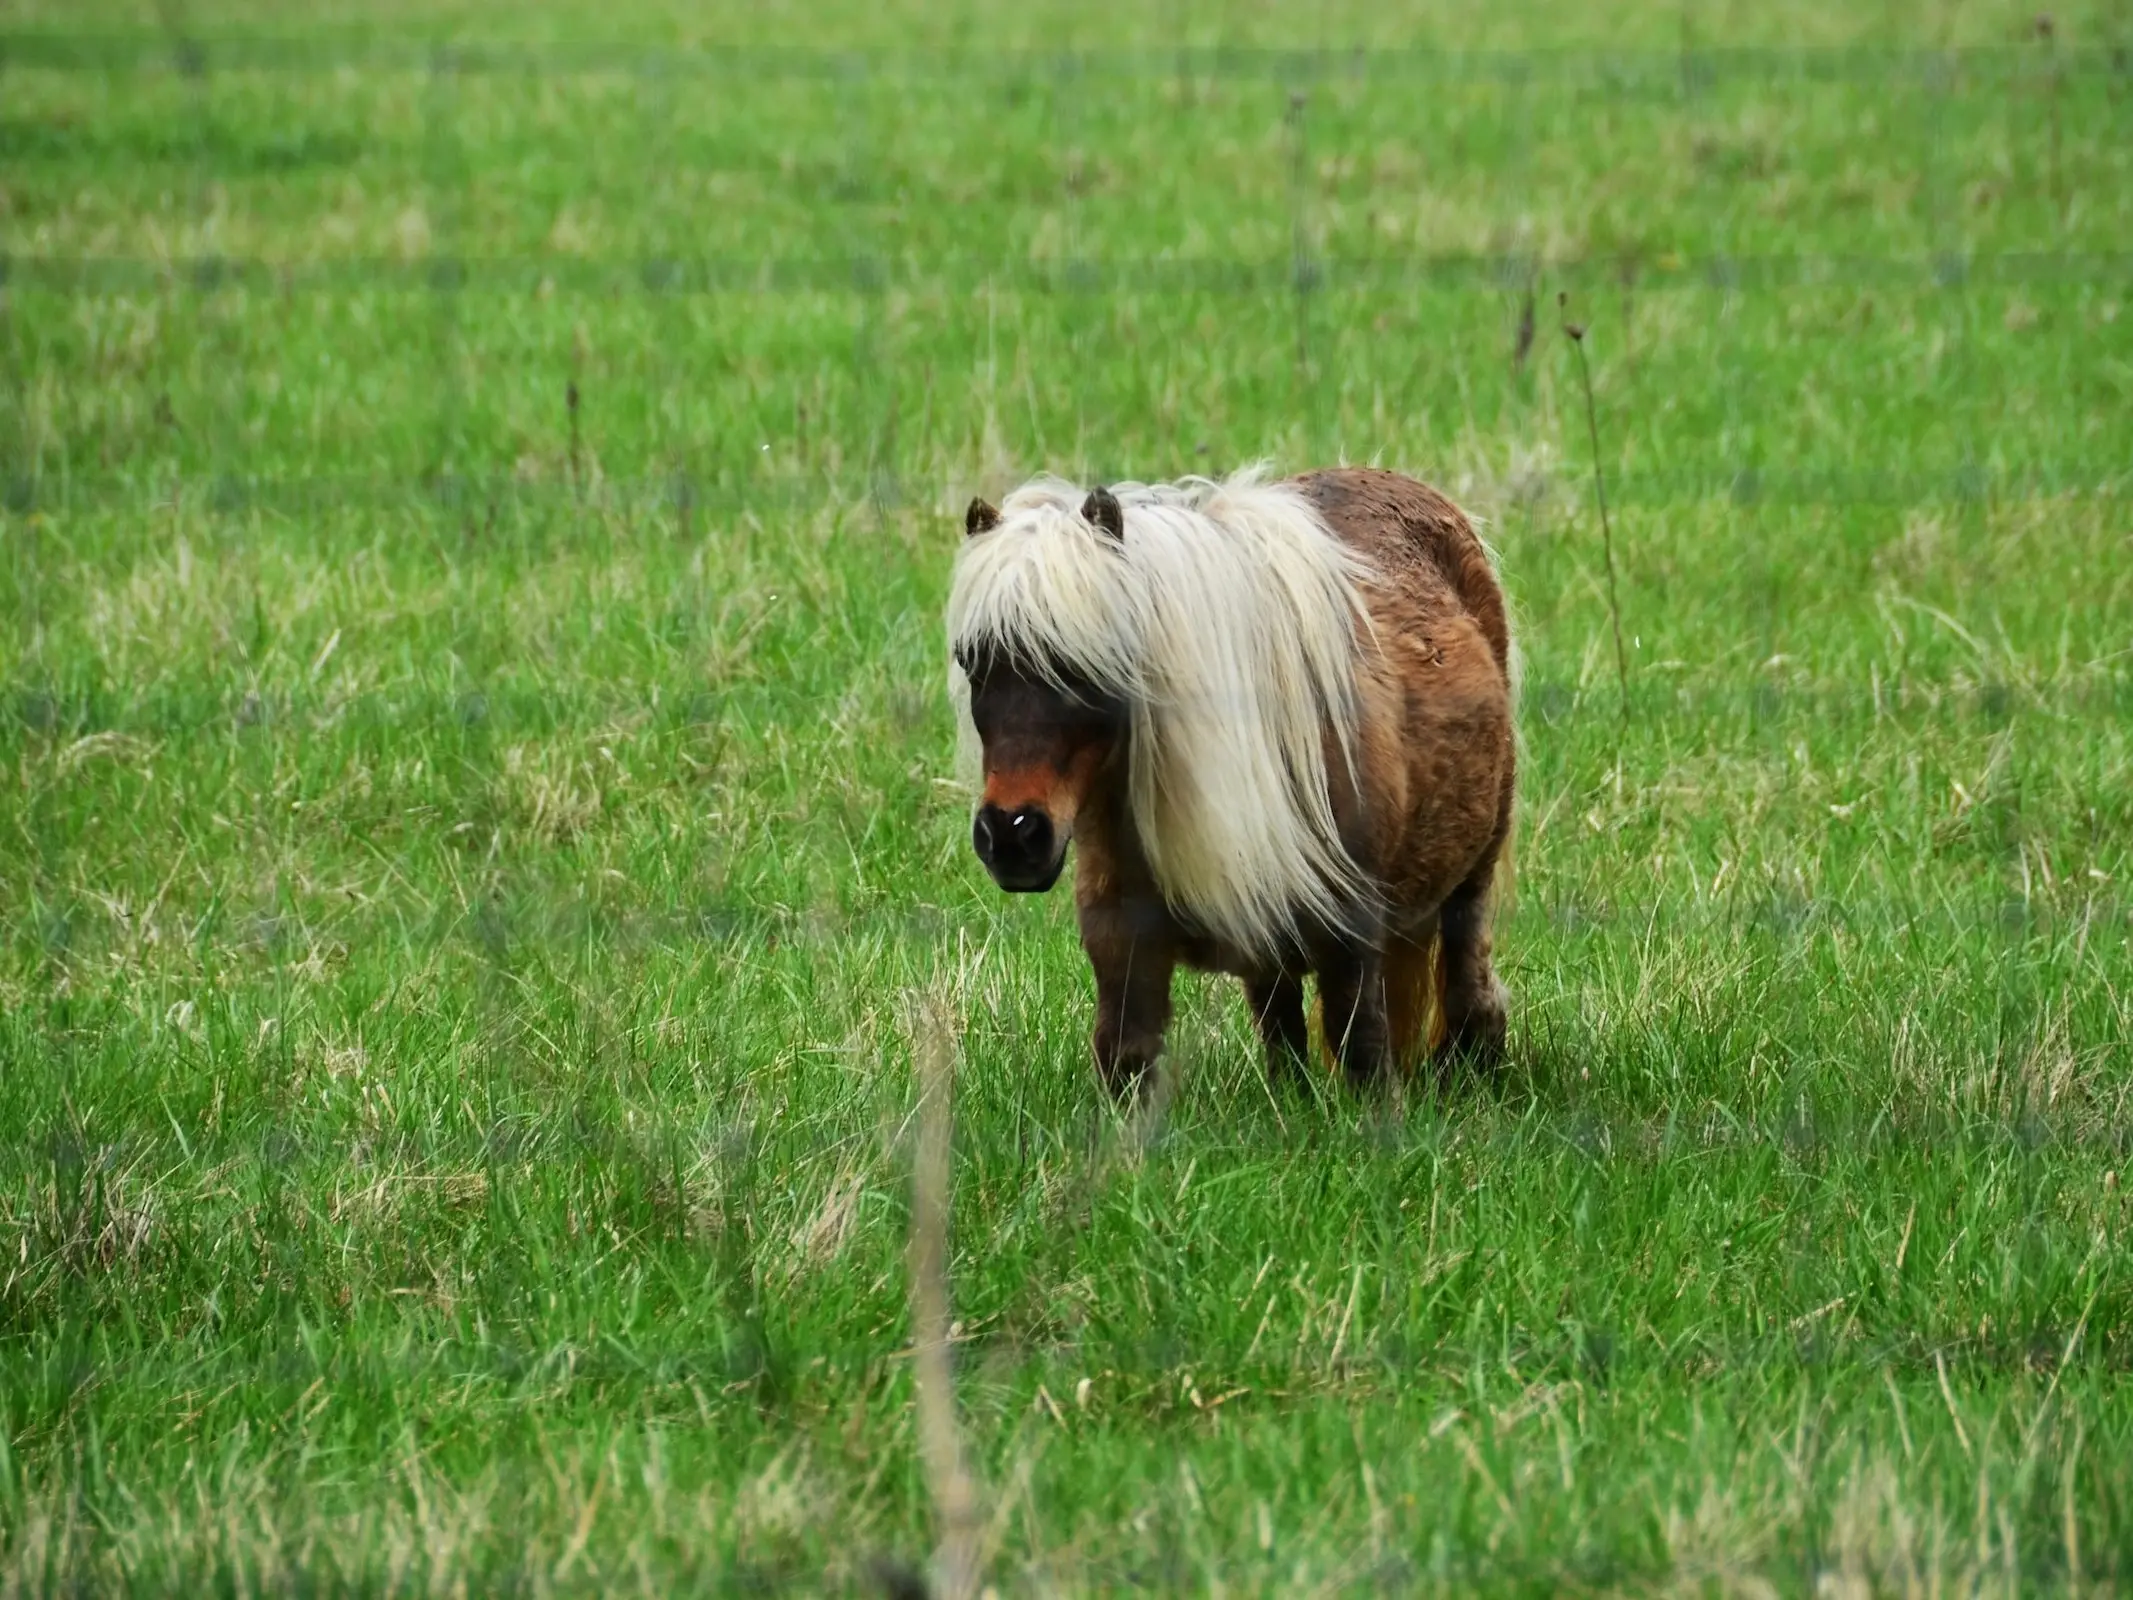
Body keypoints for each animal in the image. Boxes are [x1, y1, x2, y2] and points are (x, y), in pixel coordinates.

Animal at [951, 467, 1518, 1100]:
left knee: (1466, 970)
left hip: (1472, 868)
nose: (1012, 834)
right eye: (971, 662)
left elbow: (1363, 1051)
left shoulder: (1352, 935)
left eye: (1081, 667)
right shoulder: (1124, 943)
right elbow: (1126, 1056)